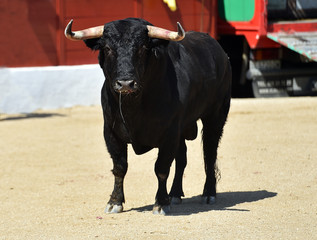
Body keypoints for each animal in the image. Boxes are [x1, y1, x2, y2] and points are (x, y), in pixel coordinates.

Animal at [65, 17, 231, 215]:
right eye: (107, 48)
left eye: (143, 48)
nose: (125, 83)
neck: (134, 107)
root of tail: (219, 51)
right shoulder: (111, 132)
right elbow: (119, 167)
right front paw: (114, 202)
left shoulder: (169, 133)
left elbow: (161, 168)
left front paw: (160, 203)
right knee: (182, 158)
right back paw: (175, 194)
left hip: (215, 116)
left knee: (210, 154)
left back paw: (208, 194)